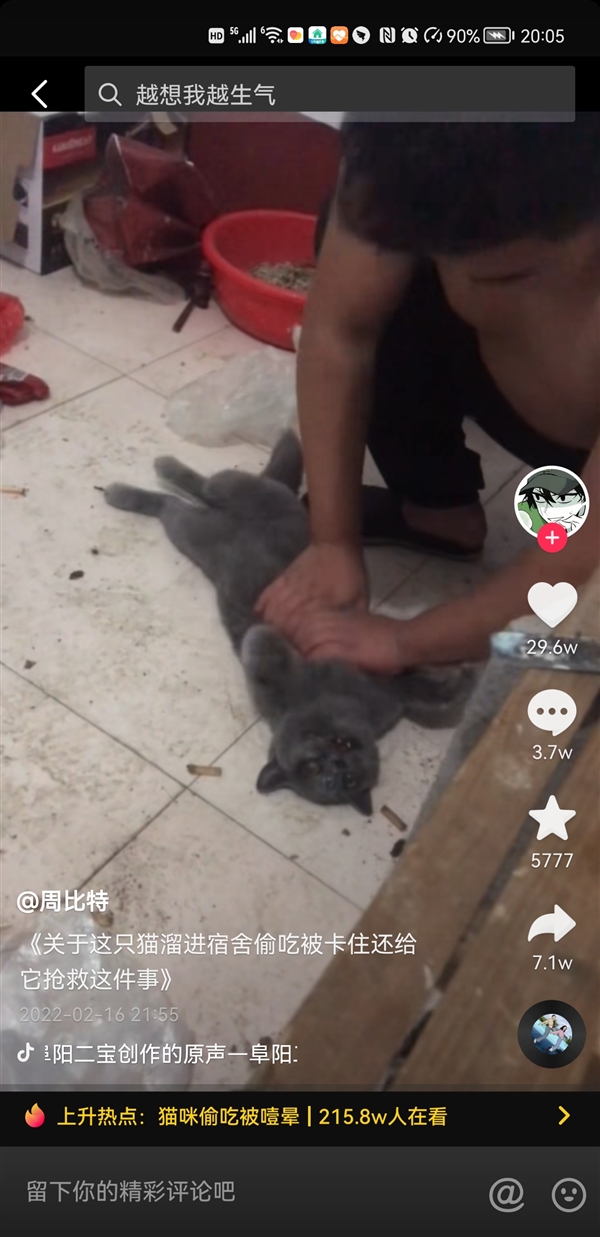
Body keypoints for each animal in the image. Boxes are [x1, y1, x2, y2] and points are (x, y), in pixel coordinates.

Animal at [105, 431, 473, 815]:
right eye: (312, 769)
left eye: (347, 780)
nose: (333, 764)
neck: (338, 704)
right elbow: (260, 643)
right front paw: (265, 633)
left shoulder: (387, 690)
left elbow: (424, 691)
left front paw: (462, 677)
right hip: (197, 527)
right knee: (183, 496)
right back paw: (139, 482)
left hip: (213, 518)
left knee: (195, 493)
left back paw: (151, 478)